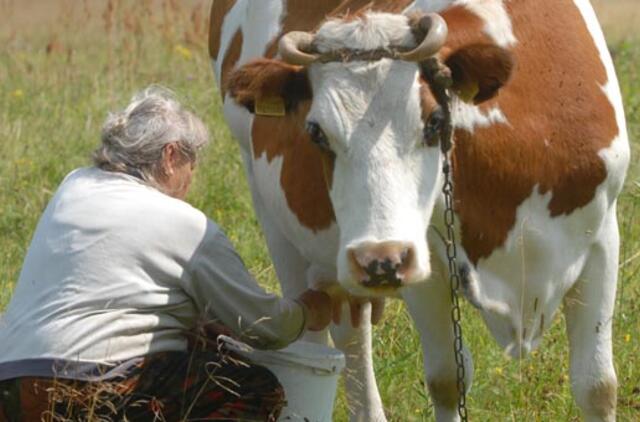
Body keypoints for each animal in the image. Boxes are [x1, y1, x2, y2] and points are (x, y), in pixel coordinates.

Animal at [210, 0, 632, 422]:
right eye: (315, 132)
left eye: (434, 122)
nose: (377, 258)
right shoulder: (424, 261)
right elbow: (448, 380)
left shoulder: (602, 237)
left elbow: (597, 385)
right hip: (276, 217)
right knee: (320, 341)